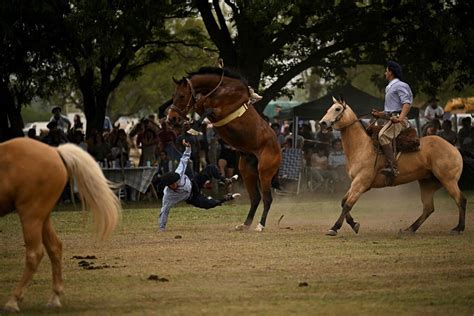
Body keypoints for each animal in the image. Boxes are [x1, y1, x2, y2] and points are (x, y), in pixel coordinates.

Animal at [0, 138, 121, 312]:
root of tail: (55, 151)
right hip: (42, 216)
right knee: (55, 247)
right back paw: (54, 298)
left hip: (31, 213)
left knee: (34, 253)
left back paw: (13, 301)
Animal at [166, 66, 280, 231]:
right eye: (173, 96)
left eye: (181, 96)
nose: (171, 119)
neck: (222, 90)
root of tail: (278, 149)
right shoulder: (203, 105)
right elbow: (200, 106)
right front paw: (190, 125)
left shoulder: (219, 111)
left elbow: (207, 109)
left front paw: (193, 129)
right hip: (247, 172)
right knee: (255, 198)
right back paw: (245, 224)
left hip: (265, 173)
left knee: (267, 199)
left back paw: (260, 226)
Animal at [318, 97, 466, 236]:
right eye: (328, 109)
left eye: (337, 109)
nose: (322, 123)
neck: (362, 147)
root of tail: (454, 148)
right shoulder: (357, 183)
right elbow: (343, 202)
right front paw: (354, 224)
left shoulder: (361, 183)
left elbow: (348, 205)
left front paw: (334, 228)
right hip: (427, 183)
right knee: (428, 208)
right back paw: (409, 229)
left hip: (448, 181)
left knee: (460, 200)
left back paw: (458, 228)